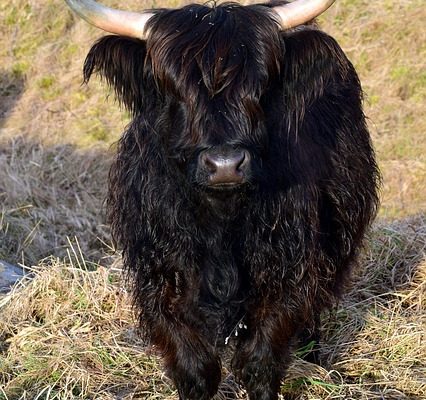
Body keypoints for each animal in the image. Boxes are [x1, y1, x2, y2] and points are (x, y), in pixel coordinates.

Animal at [64, 0, 380, 400]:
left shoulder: (292, 272)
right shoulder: (159, 277)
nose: (225, 165)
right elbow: (195, 369)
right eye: (173, 87)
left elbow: (260, 362)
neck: (222, 221)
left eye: (260, 84)